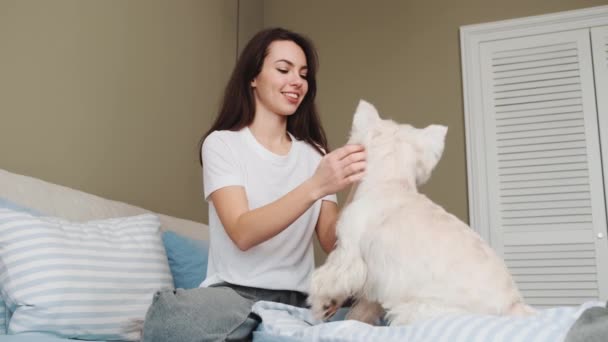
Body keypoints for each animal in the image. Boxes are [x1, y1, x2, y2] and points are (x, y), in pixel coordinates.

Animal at [308, 99, 532, 326]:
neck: (390, 184)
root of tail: (513, 306)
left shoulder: (349, 251)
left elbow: (329, 278)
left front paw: (322, 304)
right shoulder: (377, 280)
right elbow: (365, 306)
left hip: (418, 309)